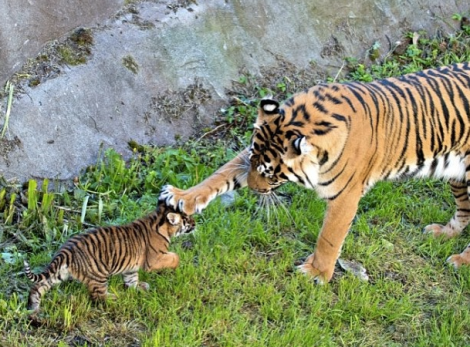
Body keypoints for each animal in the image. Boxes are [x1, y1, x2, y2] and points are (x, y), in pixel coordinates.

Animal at [161, 62, 470, 284]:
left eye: (270, 174)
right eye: (252, 160)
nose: (253, 188)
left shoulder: (346, 196)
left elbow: (329, 238)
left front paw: (316, 273)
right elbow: (220, 174)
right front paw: (181, 197)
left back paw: (461, 260)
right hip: (458, 178)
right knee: (464, 211)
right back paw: (442, 233)